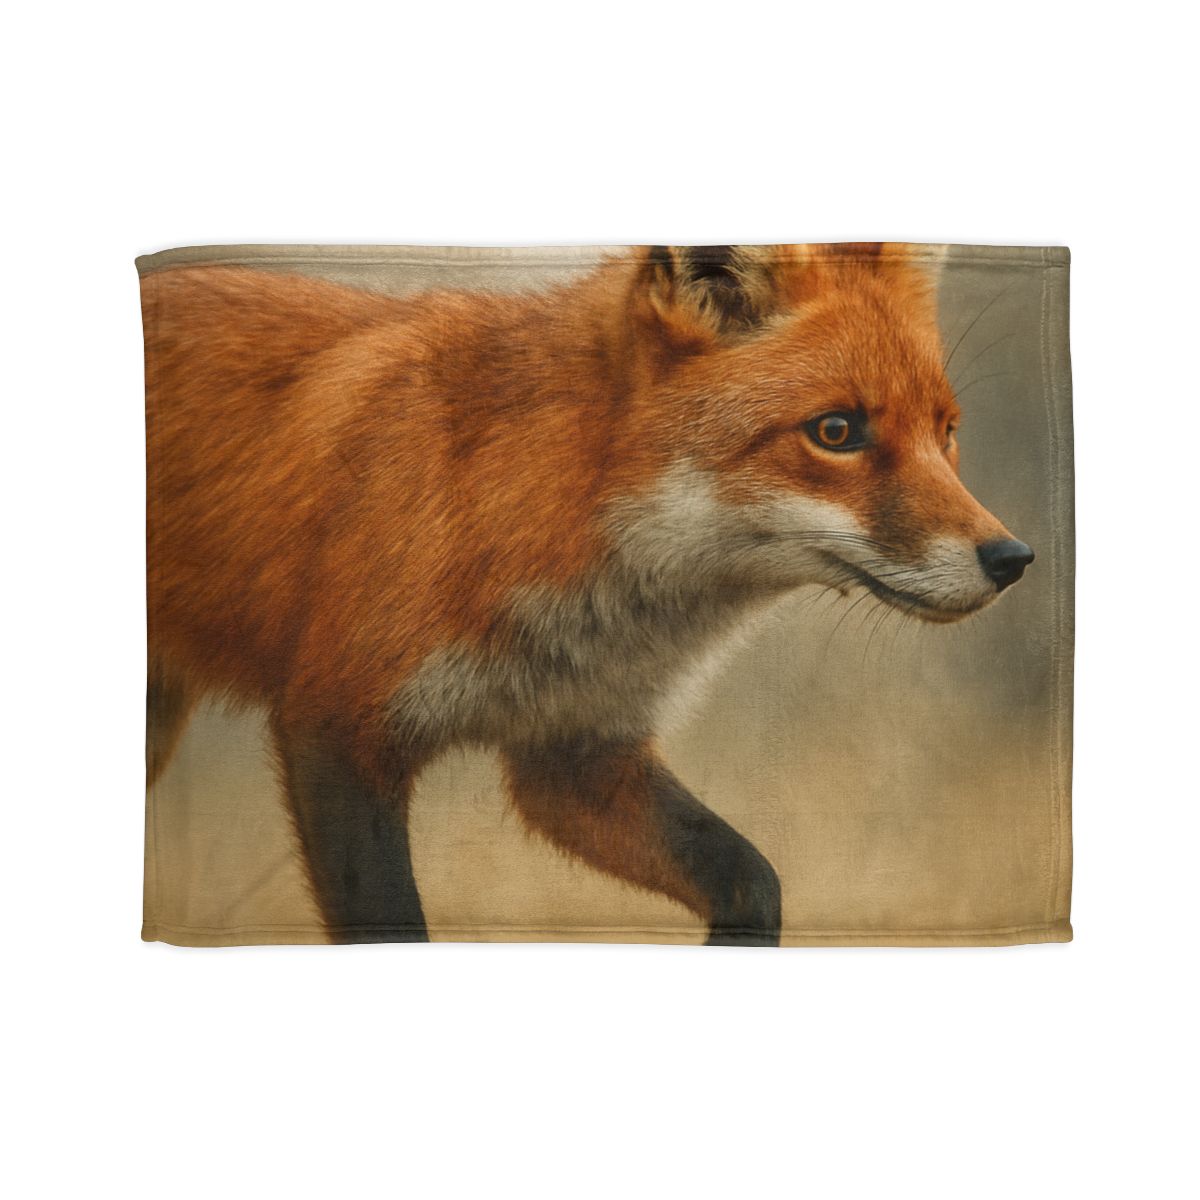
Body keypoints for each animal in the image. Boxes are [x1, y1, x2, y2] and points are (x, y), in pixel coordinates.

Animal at [142, 243, 1033, 947]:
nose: (1013, 558)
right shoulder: (334, 730)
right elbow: (394, 923)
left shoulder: (575, 755)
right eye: (837, 432)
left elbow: (752, 879)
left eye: (946, 432)